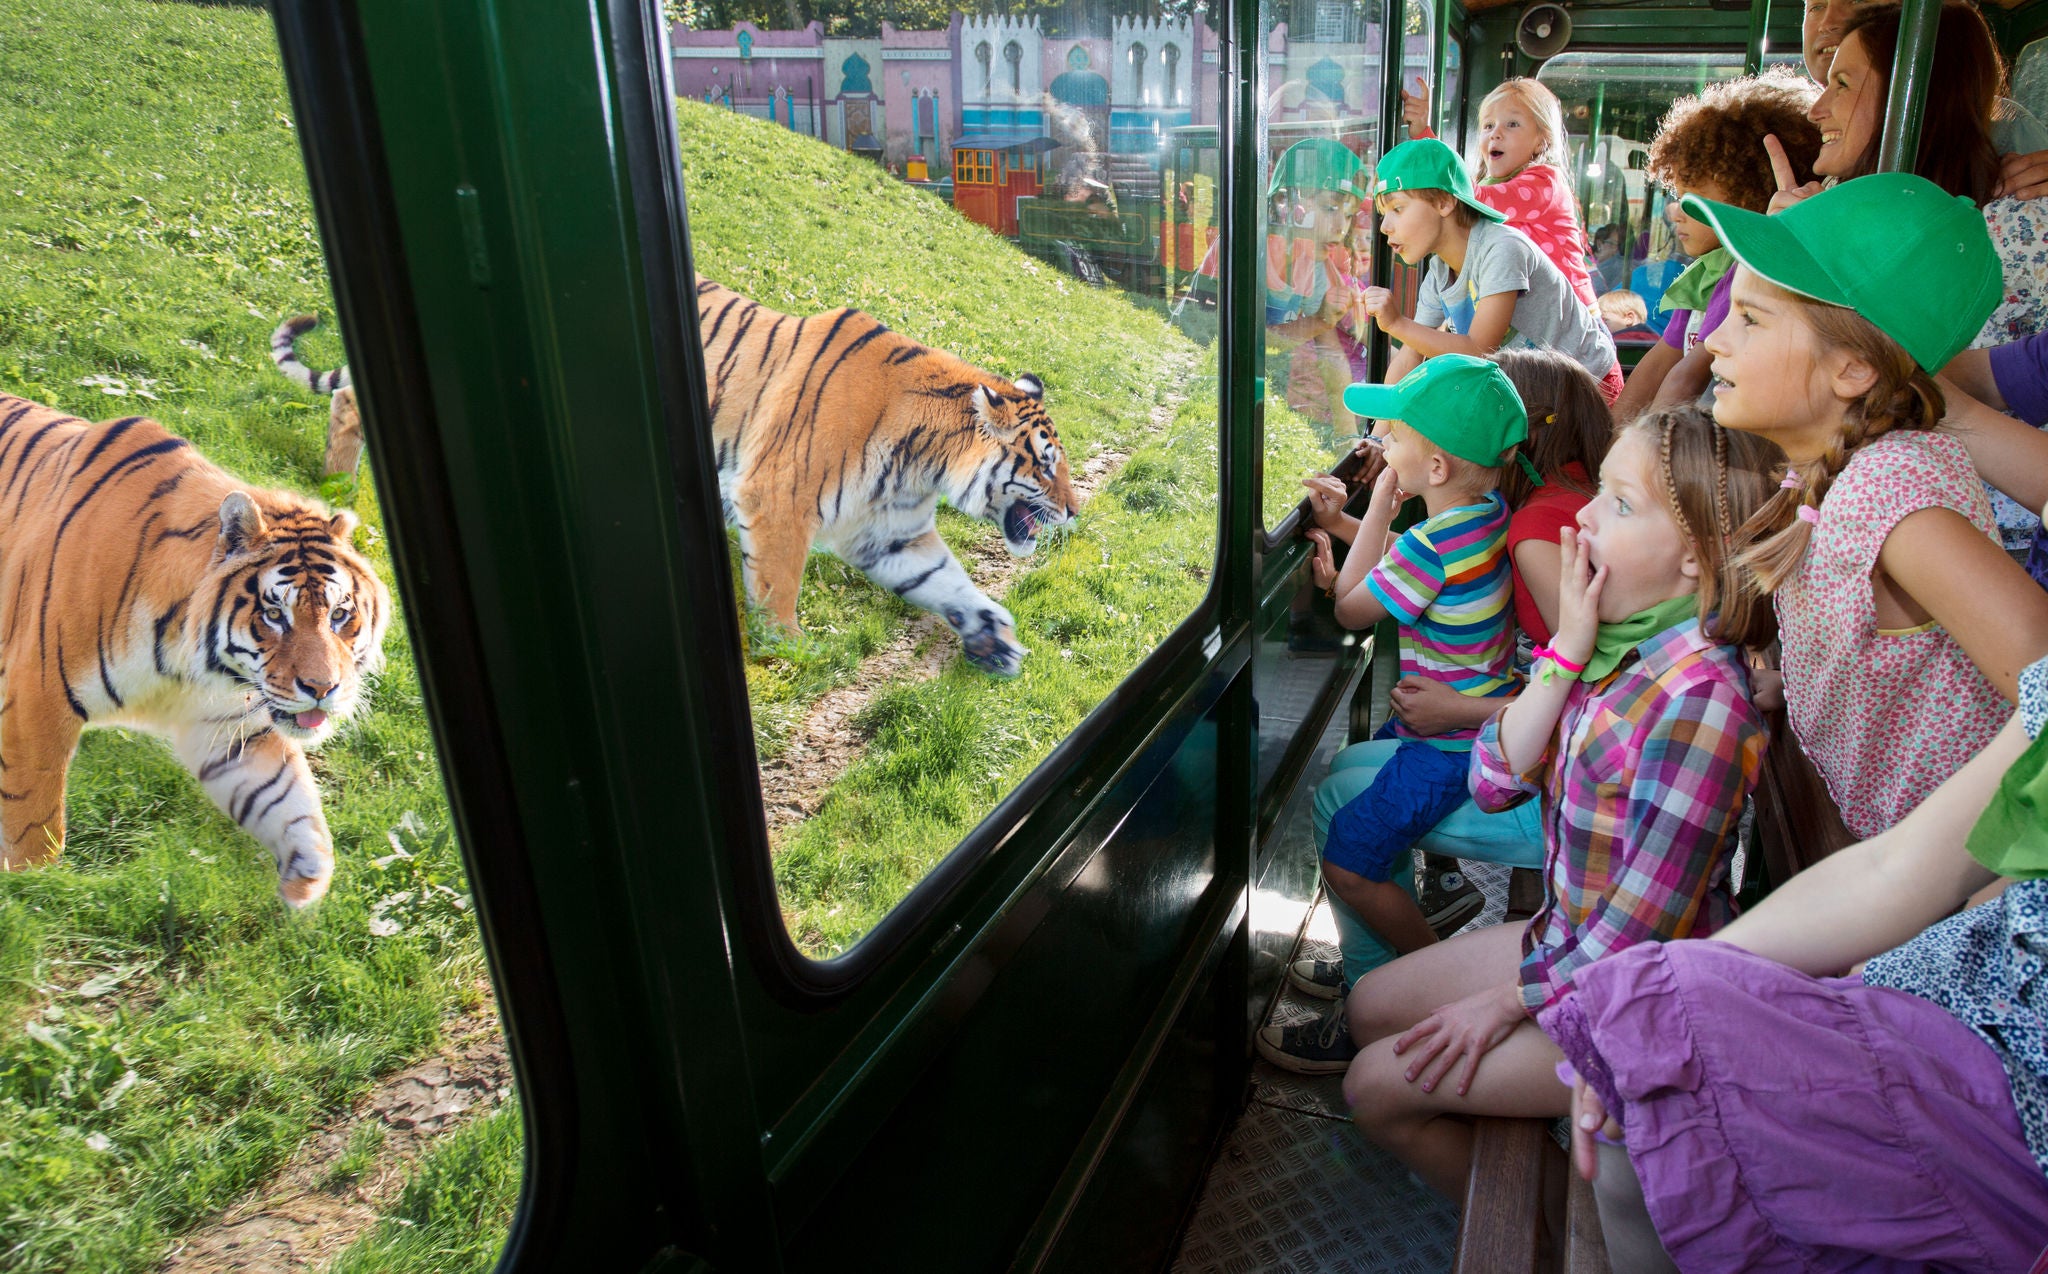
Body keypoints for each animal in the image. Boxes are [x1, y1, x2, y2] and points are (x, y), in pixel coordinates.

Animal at [0, 391, 391, 909]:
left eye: (340, 615)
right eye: (275, 615)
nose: (322, 688)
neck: (188, 663)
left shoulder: (228, 726)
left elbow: (291, 802)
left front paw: (304, 887)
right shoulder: (36, 702)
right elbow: (34, 824)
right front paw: (30, 893)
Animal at [696, 276, 1081, 680]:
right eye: (1046, 466)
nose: (1075, 511)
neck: (920, 461)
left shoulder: (891, 534)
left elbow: (946, 578)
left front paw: (994, 636)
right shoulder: (780, 499)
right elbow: (778, 580)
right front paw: (787, 648)